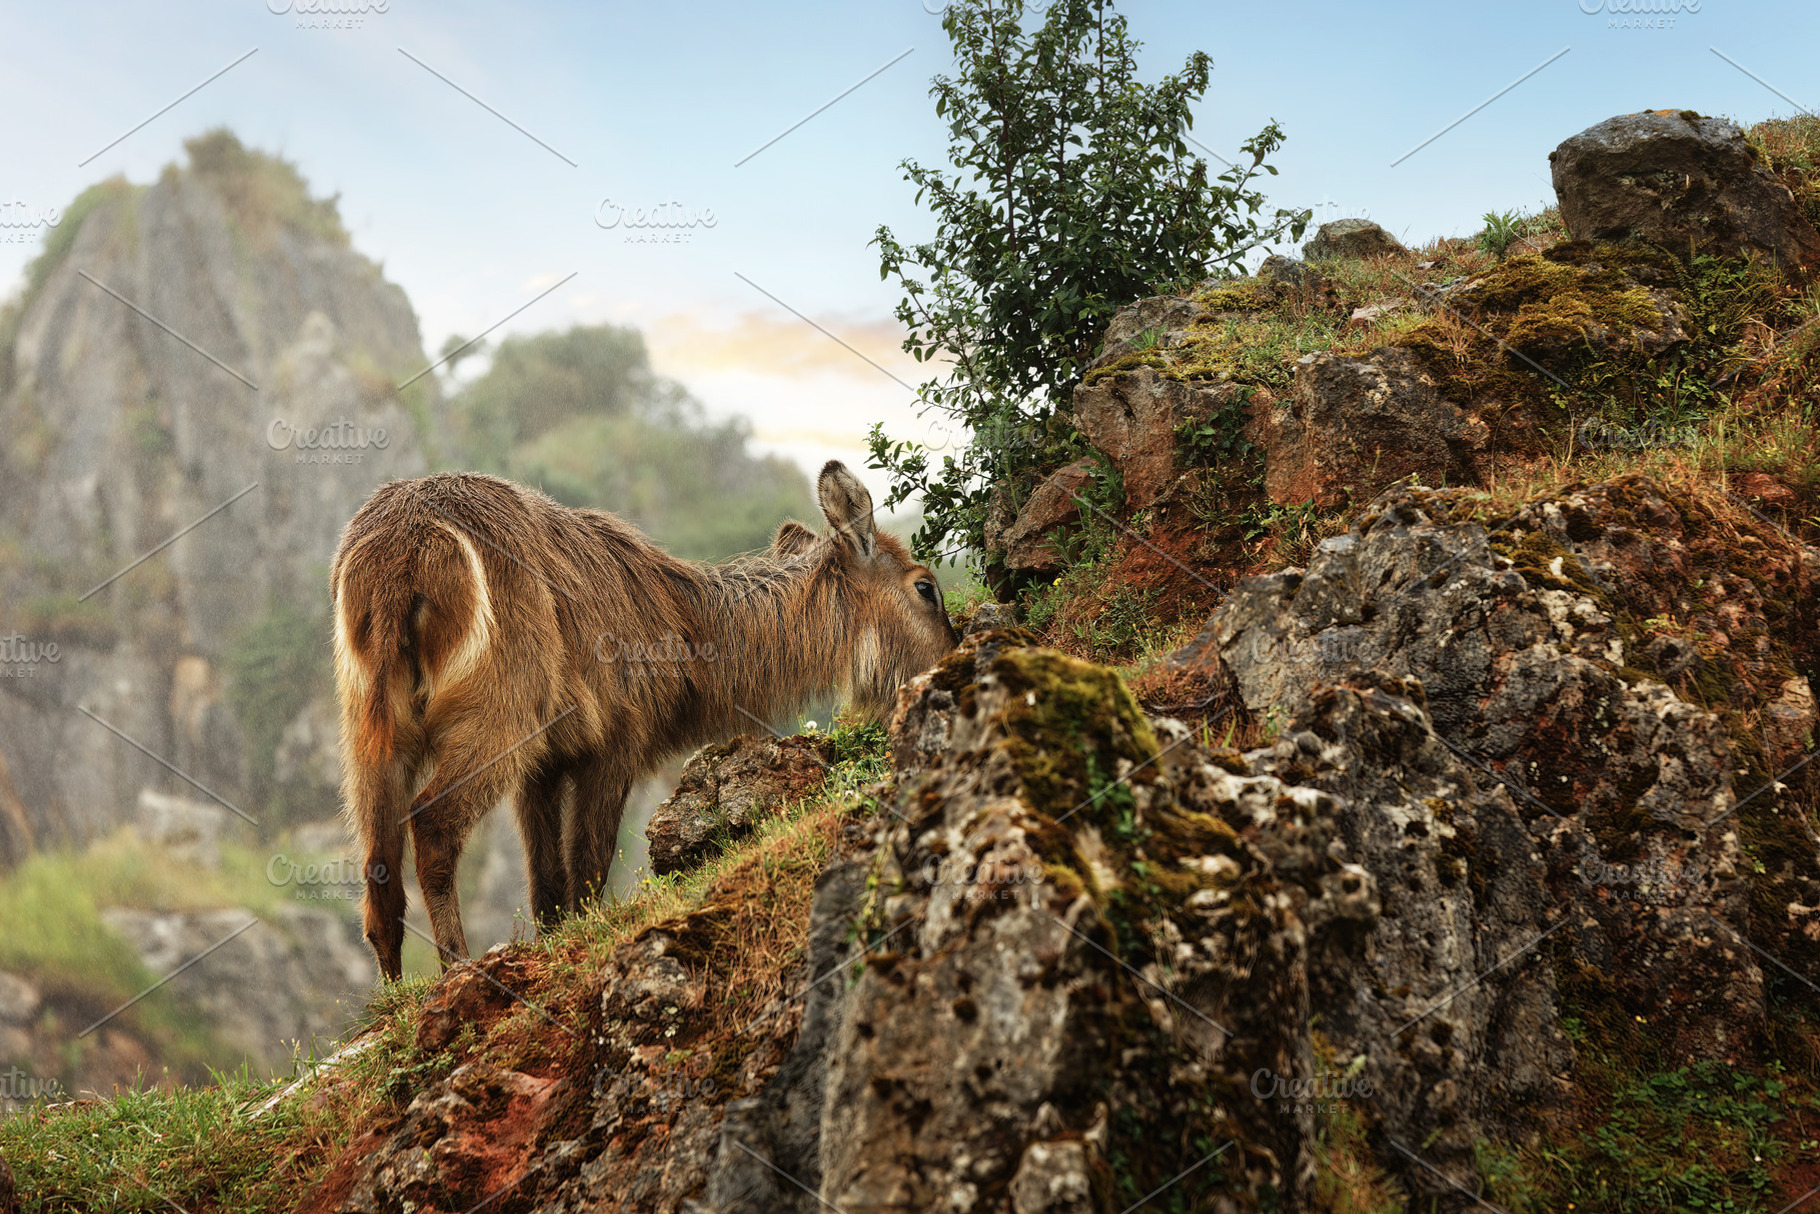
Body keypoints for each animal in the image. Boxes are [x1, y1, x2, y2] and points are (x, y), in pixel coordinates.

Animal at [330, 461, 957, 981]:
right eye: (926, 586)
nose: (950, 657)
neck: (687, 623)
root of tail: (401, 548)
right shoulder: (613, 745)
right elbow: (586, 872)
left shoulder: (543, 765)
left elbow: (547, 890)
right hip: (497, 718)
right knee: (431, 823)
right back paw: (458, 969)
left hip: (371, 728)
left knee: (378, 871)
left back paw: (396, 999)